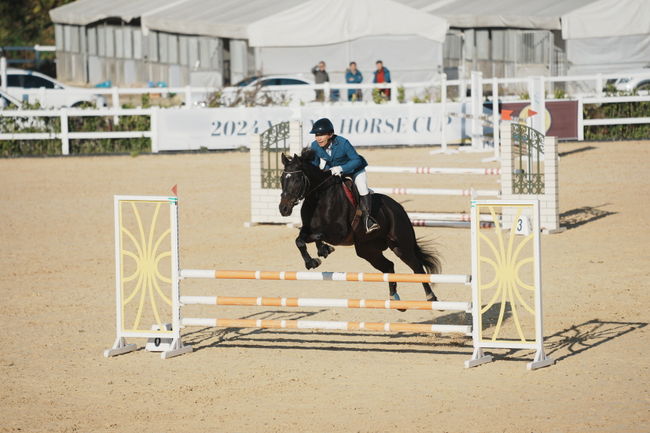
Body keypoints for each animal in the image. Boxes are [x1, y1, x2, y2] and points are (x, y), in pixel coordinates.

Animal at [278, 150, 440, 302]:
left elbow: (318, 235)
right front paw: (313, 260)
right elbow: (300, 241)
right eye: (281, 179)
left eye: (297, 180)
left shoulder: (339, 234)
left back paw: (431, 297)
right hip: (368, 249)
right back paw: (394, 298)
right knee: (389, 266)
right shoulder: (307, 229)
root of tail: (399, 208)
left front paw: (323, 250)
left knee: (417, 267)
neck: (318, 199)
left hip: (400, 245)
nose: (283, 209)